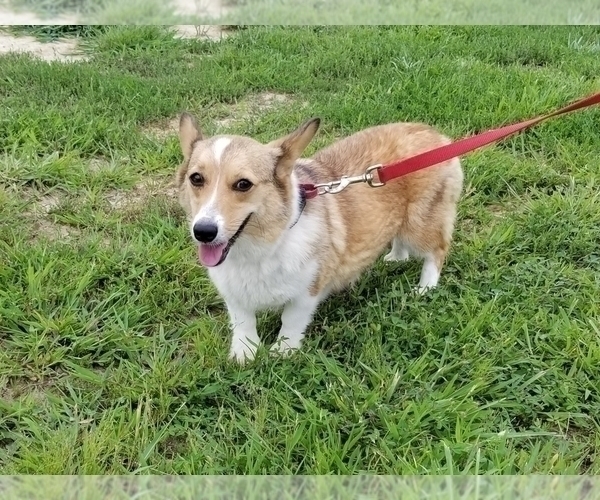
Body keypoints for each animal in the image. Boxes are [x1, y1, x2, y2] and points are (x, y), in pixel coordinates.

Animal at [175, 113, 464, 364]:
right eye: (196, 178)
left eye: (243, 184)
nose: (203, 231)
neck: (260, 249)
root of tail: (436, 135)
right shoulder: (233, 293)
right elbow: (243, 322)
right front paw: (245, 354)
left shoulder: (307, 291)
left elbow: (290, 321)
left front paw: (283, 351)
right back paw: (395, 258)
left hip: (420, 224)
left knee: (438, 250)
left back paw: (425, 287)